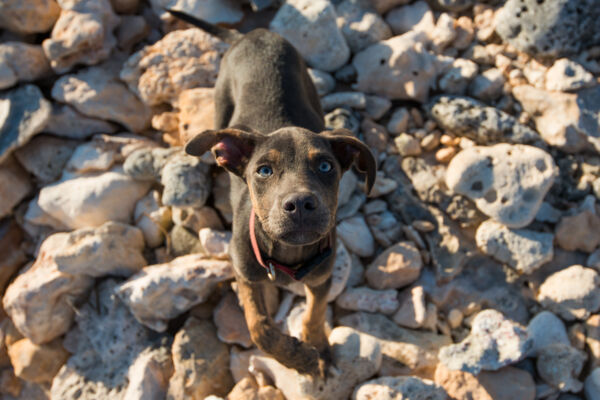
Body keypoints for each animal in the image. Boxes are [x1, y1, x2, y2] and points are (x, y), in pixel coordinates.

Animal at [169, 10, 376, 378]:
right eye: (263, 171)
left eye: (326, 166)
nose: (300, 204)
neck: (289, 256)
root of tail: (253, 34)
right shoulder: (245, 273)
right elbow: (259, 327)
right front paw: (299, 357)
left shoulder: (322, 276)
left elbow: (315, 312)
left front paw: (318, 346)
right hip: (221, 101)